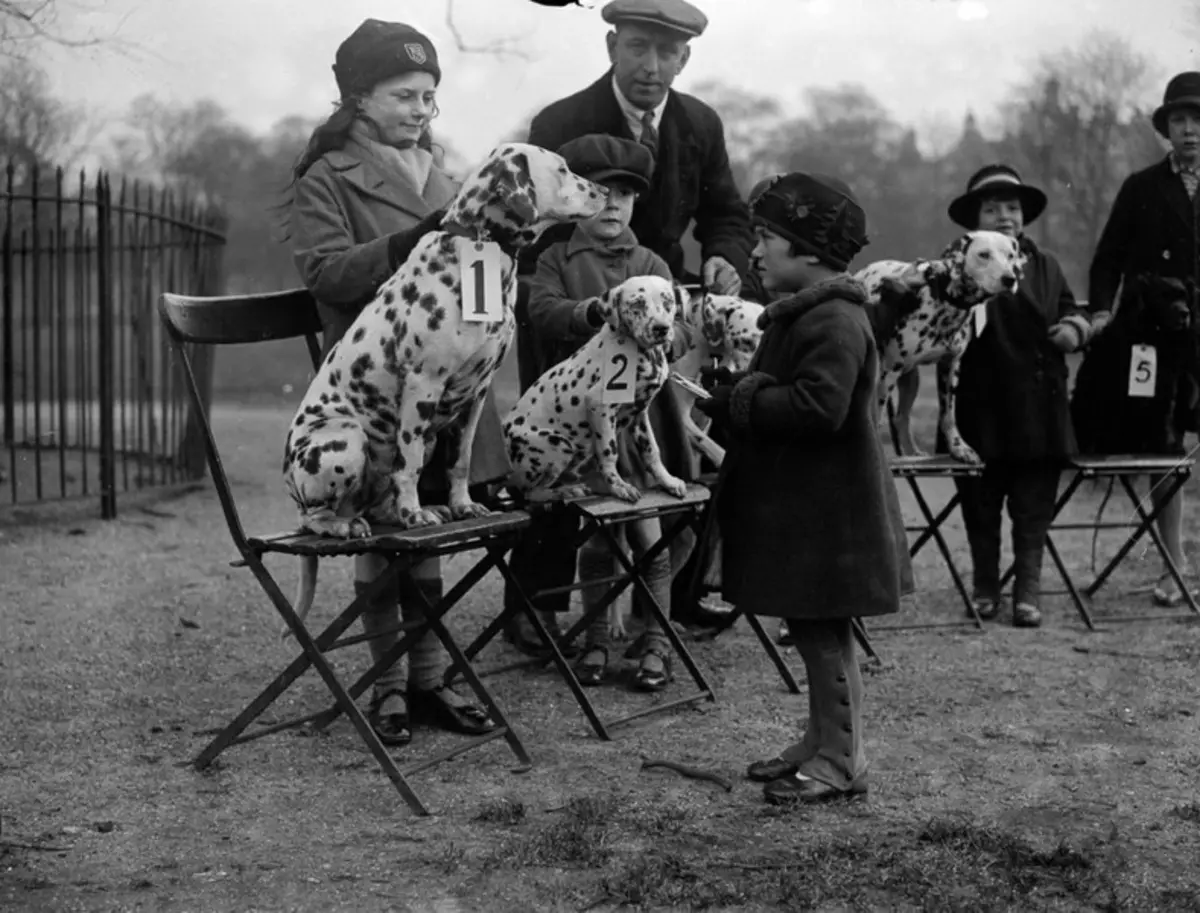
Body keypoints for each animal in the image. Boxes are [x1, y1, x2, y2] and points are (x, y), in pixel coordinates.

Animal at [277, 143, 604, 628]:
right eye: (563, 169)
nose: (603, 191)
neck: (481, 246)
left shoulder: (476, 393)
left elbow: (461, 461)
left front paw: (461, 504)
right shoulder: (423, 385)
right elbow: (409, 465)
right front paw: (414, 513)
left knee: (378, 499)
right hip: (344, 441)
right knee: (314, 515)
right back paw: (345, 522)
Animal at [504, 274, 691, 506]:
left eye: (668, 302)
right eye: (637, 304)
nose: (661, 328)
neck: (644, 353)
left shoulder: (640, 413)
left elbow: (652, 451)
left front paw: (668, 481)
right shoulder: (600, 407)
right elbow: (609, 452)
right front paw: (619, 487)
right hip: (558, 444)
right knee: (531, 493)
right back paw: (566, 491)